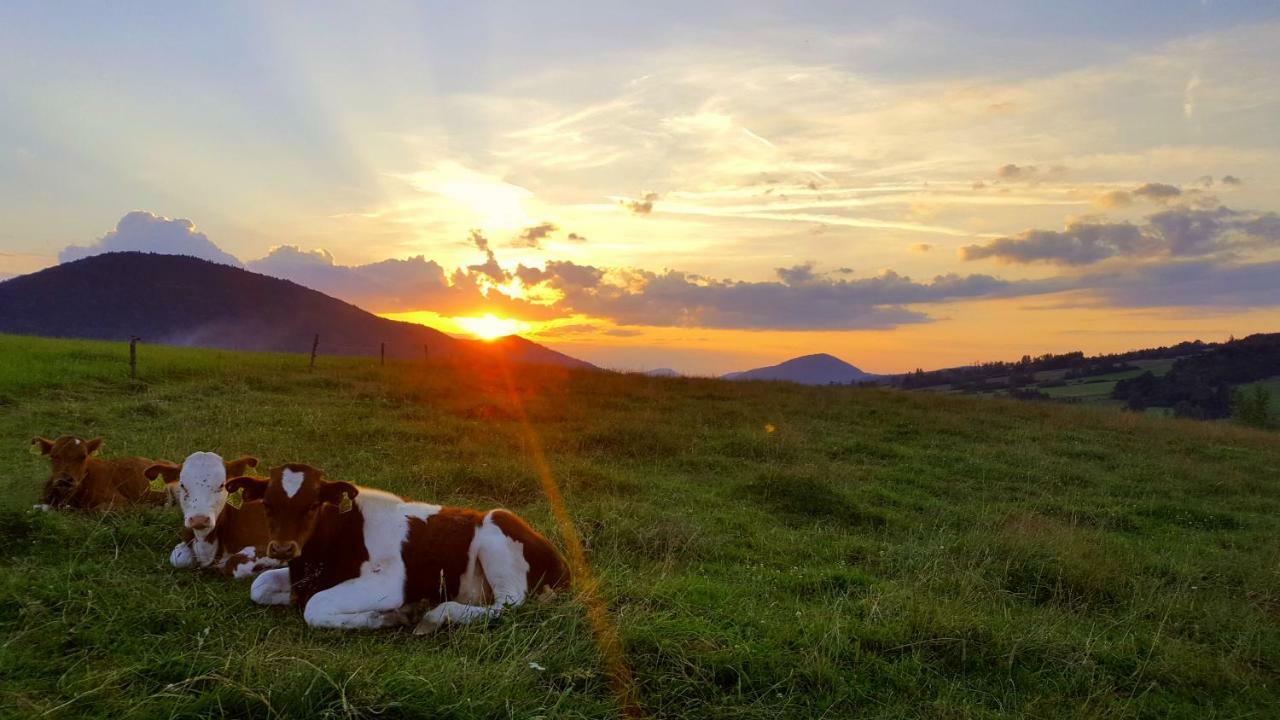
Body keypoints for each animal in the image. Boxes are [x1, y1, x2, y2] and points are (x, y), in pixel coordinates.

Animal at [229, 461, 570, 630]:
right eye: (267, 505)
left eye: (313, 505)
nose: (282, 549)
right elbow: (259, 585)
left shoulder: (389, 582)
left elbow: (315, 607)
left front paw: (390, 616)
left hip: (497, 541)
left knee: (508, 606)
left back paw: (436, 615)